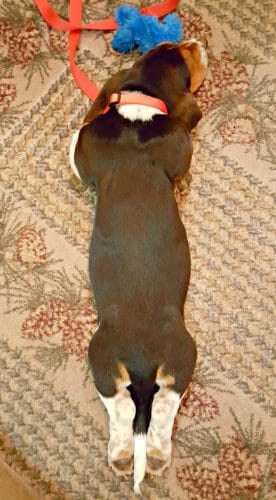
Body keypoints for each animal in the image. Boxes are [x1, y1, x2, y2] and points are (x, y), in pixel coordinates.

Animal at [69, 40, 207, 496]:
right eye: (181, 54)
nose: (198, 42)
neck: (139, 105)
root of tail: (144, 363)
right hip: (175, 355)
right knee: (159, 404)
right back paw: (151, 453)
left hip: (105, 355)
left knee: (128, 407)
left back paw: (127, 453)